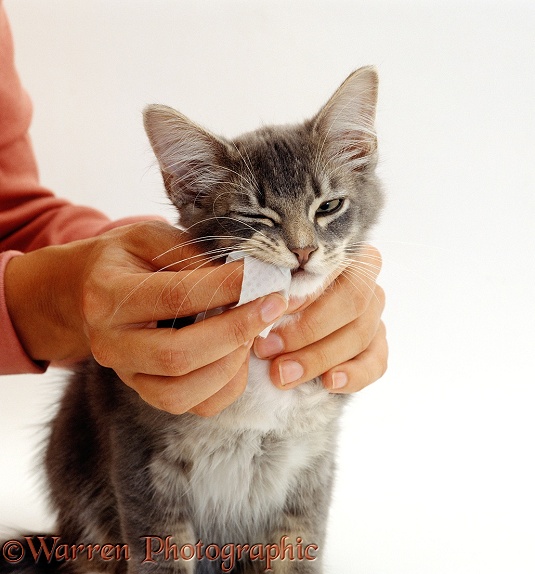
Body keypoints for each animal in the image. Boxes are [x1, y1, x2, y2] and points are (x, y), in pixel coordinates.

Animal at [11, 66, 386, 574]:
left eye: (328, 206)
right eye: (255, 215)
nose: (304, 250)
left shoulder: (311, 468)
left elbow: (296, 550)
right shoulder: (142, 459)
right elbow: (162, 555)